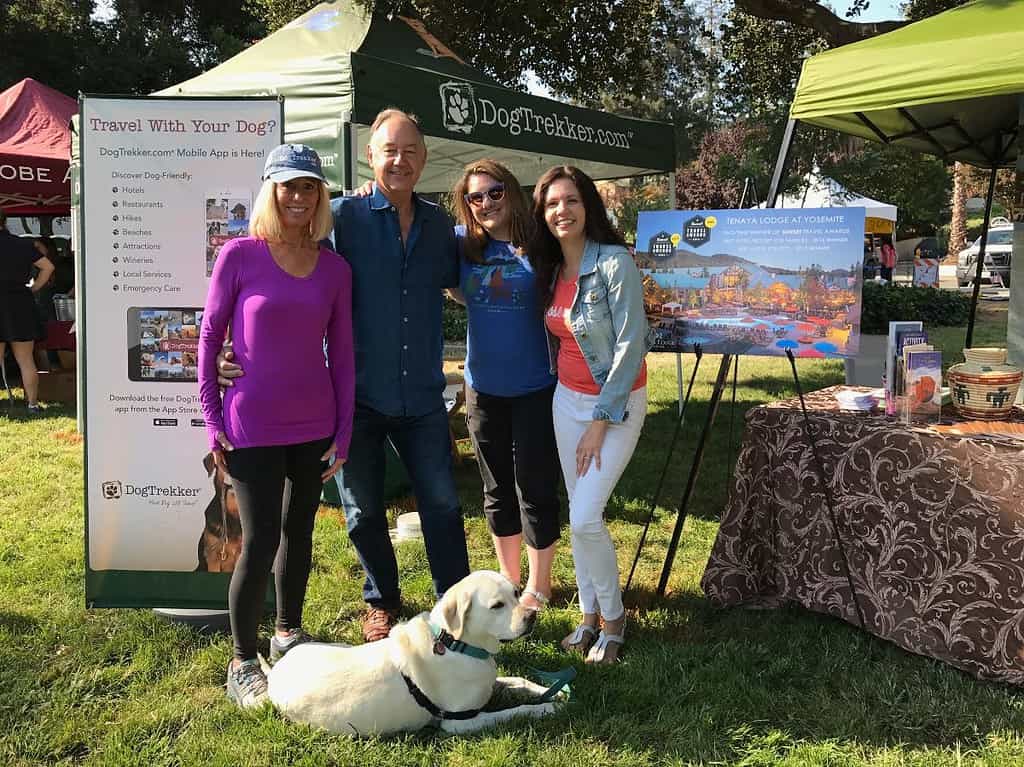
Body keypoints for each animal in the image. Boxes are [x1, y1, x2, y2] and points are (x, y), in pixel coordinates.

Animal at [264, 573, 565, 733]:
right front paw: (545, 708)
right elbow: (513, 711)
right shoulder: (459, 723)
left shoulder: (491, 681)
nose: (532, 616)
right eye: (497, 605)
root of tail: (275, 673)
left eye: (516, 592)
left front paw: (555, 691)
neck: (454, 643)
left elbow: (519, 680)